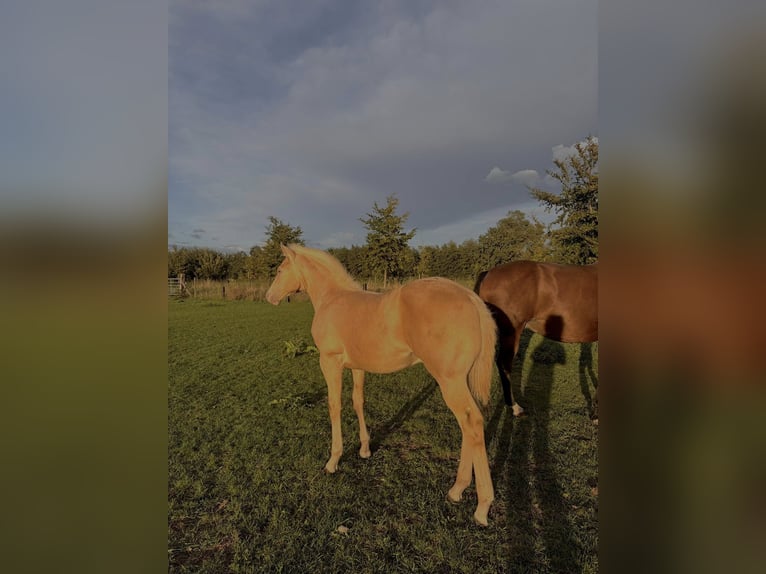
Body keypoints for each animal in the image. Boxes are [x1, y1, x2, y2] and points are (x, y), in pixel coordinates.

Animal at [265, 244, 498, 525]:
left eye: (280, 270)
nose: (269, 296)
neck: (332, 299)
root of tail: (471, 298)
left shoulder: (329, 363)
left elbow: (334, 406)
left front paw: (333, 461)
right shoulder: (357, 367)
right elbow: (358, 402)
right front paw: (365, 450)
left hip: (450, 382)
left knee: (471, 423)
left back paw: (481, 506)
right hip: (459, 381)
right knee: (469, 425)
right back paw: (457, 490)